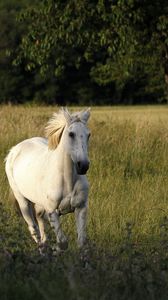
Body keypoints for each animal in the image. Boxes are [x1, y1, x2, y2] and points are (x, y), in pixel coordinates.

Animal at [4, 108, 90, 253]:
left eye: (88, 134)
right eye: (71, 134)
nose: (83, 166)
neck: (67, 181)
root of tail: (13, 151)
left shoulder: (81, 208)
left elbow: (81, 243)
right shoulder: (52, 211)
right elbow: (63, 243)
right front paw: (56, 252)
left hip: (39, 206)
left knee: (41, 227)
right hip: (23, 202)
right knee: (34, 230)